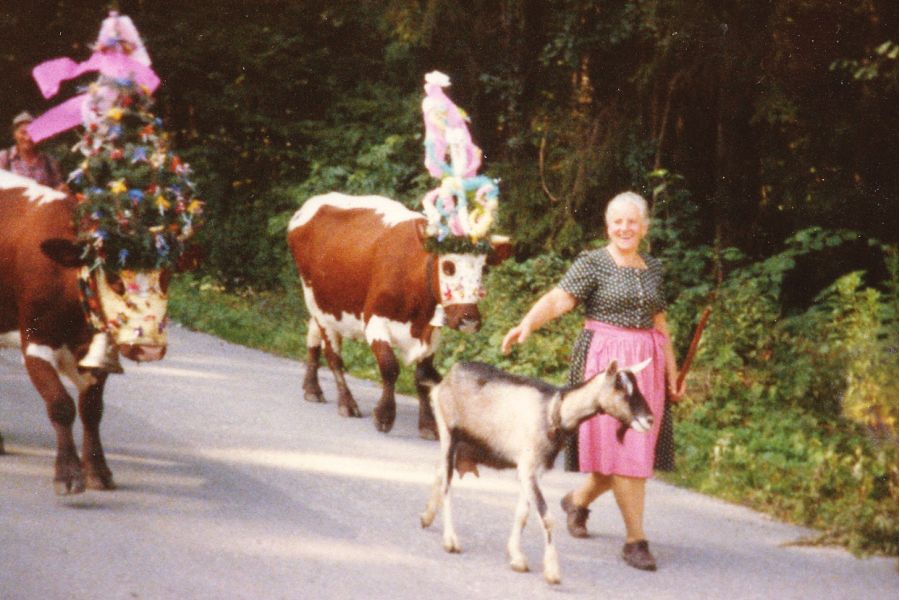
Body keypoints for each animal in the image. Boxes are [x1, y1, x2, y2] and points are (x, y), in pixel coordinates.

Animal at [0, 168, 171, 492]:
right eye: (115, 279)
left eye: (166, 278)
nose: (150, 348)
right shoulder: (36, 343)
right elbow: (61, 404)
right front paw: (68, 473)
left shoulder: (95, 353)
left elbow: (92, 409)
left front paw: (98, 470)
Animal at [292, 195, 510, 438]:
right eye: (448, 266)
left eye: (484, 269)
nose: (469, 319)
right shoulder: (374, 321)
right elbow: (390, 367)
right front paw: (384, 416)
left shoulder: (432, 332)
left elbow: (422, 376)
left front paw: (428, 424)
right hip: (316, 303)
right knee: (333, 356)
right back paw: (346, 403)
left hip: (325, 306)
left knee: (313, 337)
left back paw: (311, 388)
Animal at [418, 358, 652, 584]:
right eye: (620, 387)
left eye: (637, 385)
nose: (649, 419)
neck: (553, 410)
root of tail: (447, 378)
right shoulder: (527, 467)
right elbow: (547, 517)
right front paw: (552, 572)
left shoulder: (533, 470)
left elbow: (523, 513)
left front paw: (516, 557)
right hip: (448, 432)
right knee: (447, 484)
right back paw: (450, 540)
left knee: (440, 471)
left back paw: (426, 517)